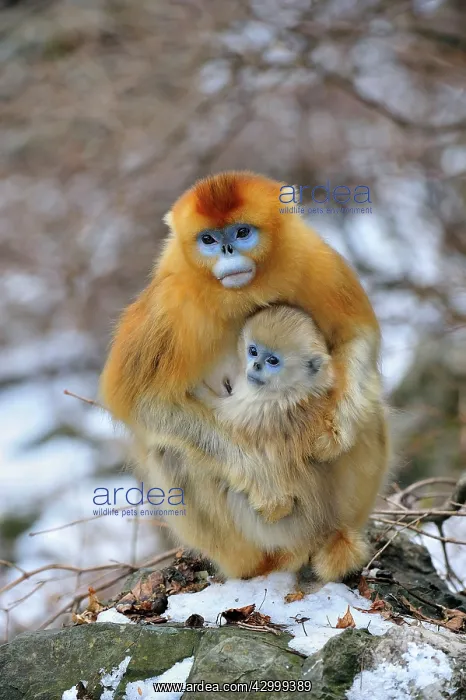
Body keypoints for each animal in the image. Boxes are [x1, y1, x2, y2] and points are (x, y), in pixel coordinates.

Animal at [100, 170, 383, 578]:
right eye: (208, 239)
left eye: (242, 232)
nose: (228, 252)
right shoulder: (167, 306)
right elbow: (144, 402)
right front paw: (264, 481)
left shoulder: (318, 261)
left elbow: (355, 334)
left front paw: (335, 434)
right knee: (170, 450)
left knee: (368, 407)